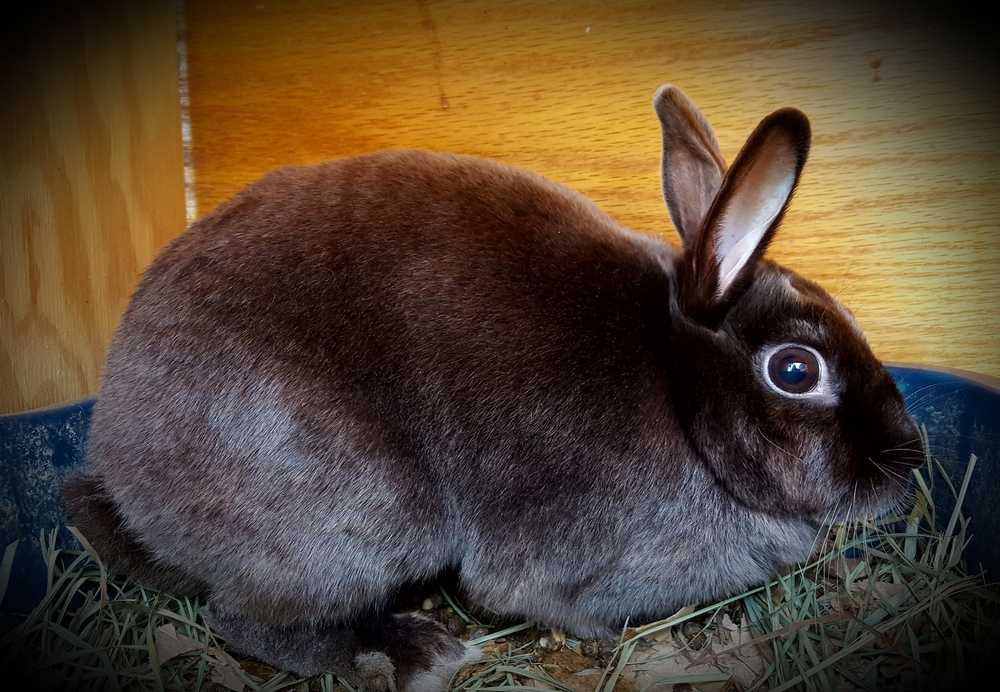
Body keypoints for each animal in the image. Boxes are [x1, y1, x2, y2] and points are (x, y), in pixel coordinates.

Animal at [64, 85, 923, 691]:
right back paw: (415, 652)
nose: (907, 461)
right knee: (244, 620)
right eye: (796, 370)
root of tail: (120, 461)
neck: (684, 398)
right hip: (358, 515)